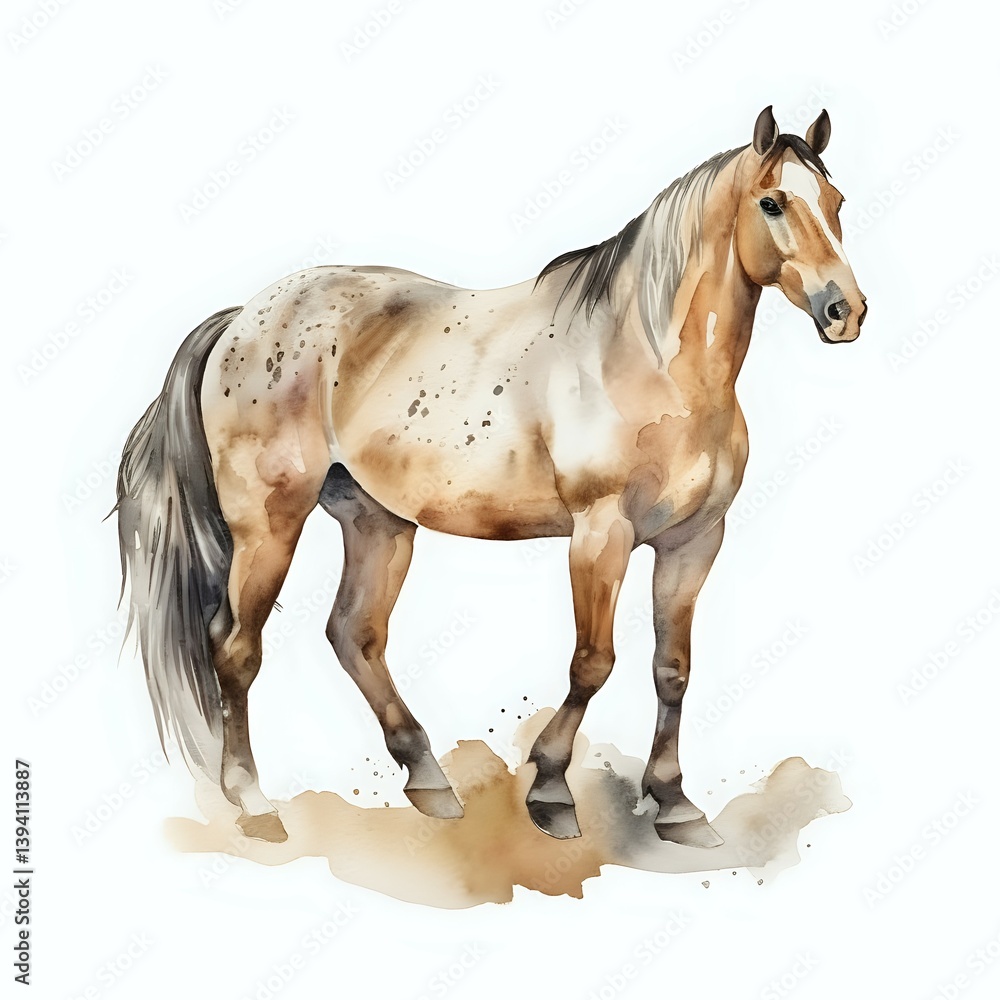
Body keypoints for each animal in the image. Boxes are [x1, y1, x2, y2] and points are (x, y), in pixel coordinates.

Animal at [116, 106, 866, 849]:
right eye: (772, 203)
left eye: (835, 202)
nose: (845, 312)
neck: (649, 358)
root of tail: (242, 318)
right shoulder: (601, 535)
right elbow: (593, 662)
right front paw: (551, 790)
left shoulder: (695, 541)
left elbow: (672, 669)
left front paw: (676, 804)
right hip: (271, 521)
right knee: (236, 648)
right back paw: (253, 804)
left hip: (376, 520)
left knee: (355, 635)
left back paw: (428, 781)